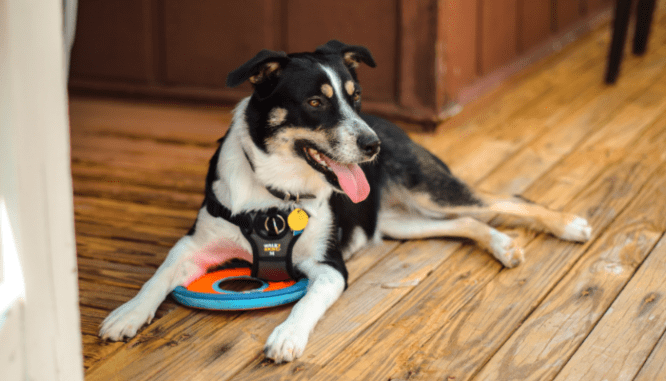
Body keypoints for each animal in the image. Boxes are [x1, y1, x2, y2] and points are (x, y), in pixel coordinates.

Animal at [96, 39, 588, 362]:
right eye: (316, 102)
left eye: (356, 97)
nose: (372, 147)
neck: (275, 192)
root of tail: (394, 129)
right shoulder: (194, 244)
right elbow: (159, 274)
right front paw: (127, 313)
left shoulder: (329, 267)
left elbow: (307, 301)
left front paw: (287, 336)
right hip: (400, 222)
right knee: (467, 223)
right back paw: (503, 245)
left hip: (429, 190)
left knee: (502, 199)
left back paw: (567, 225)